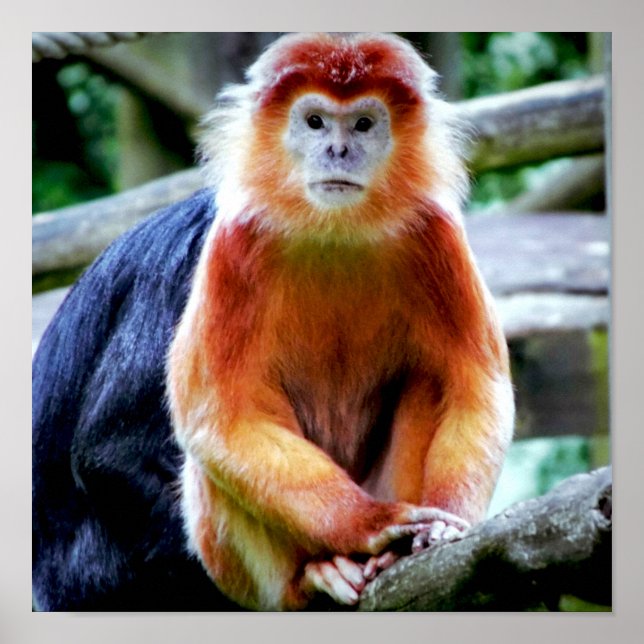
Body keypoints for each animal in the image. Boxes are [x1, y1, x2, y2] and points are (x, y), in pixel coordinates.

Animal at [31, 32, 513, 612]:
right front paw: (371, 527)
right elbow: (119, 448)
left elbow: (473, 387)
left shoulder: (430, 234)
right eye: (315, 123)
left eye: (364, 125)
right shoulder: (203, 262)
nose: (338, 151)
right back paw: (318, 572)